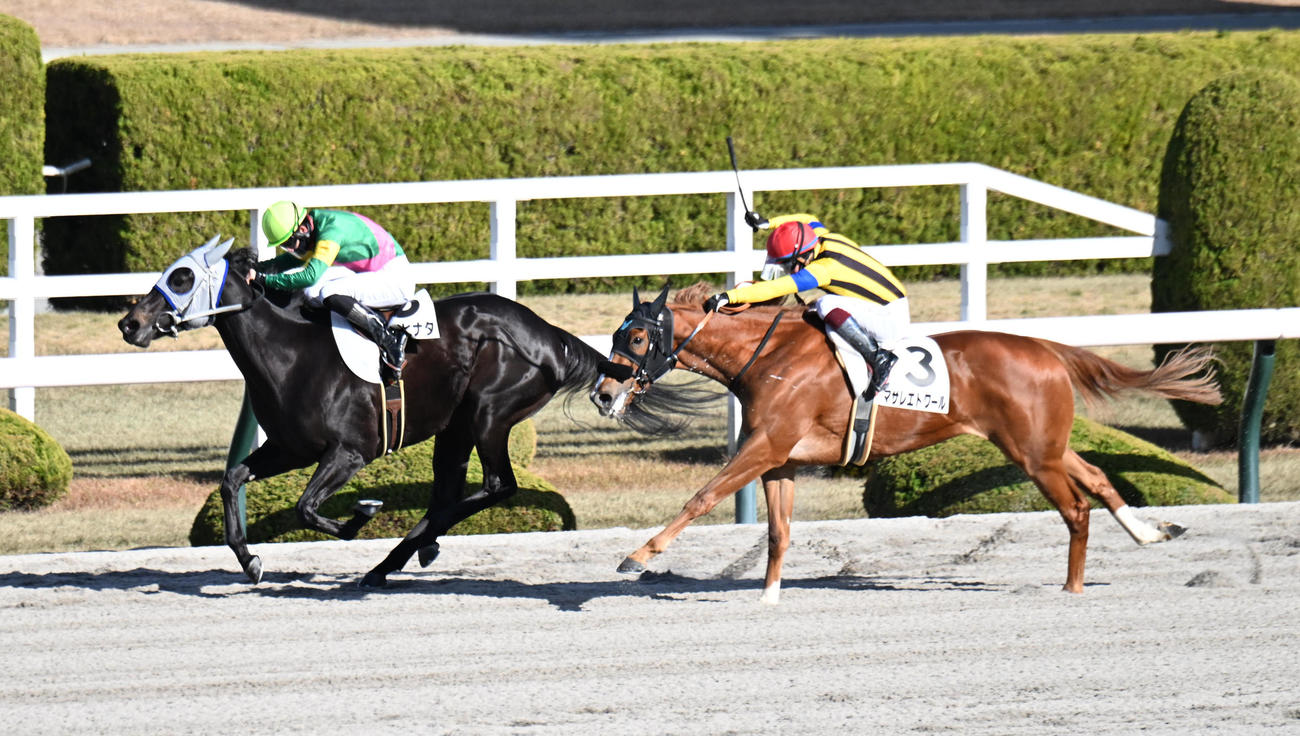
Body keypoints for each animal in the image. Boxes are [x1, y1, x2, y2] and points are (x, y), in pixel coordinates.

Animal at [118, 235, 606, 588]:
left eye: (182, 278)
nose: (129, 323)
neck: (289, 354)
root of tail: (549, 334)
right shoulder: (289, 448)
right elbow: (232, 479)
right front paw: (250, 560)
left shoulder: (350, 451)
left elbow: (305, 508)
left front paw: (362, 516)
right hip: (455, 426)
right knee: (449, 492)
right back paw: (403, 556)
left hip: (489, 415)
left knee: (498, 486)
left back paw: (408, 550)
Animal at [590, 284, 1222, 604]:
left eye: (638, 336)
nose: (603, 392)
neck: (769, 356)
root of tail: (1046, 348)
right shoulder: (779, 460)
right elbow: (778, 530)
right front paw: (769, 597)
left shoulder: (765, 448)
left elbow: (701, 498)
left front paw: (637, 556)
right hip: (1044, 443)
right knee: (1098, 478)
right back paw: (1152, 532)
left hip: (1032, 453)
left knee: (1076, 506)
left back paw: (1071, 587)